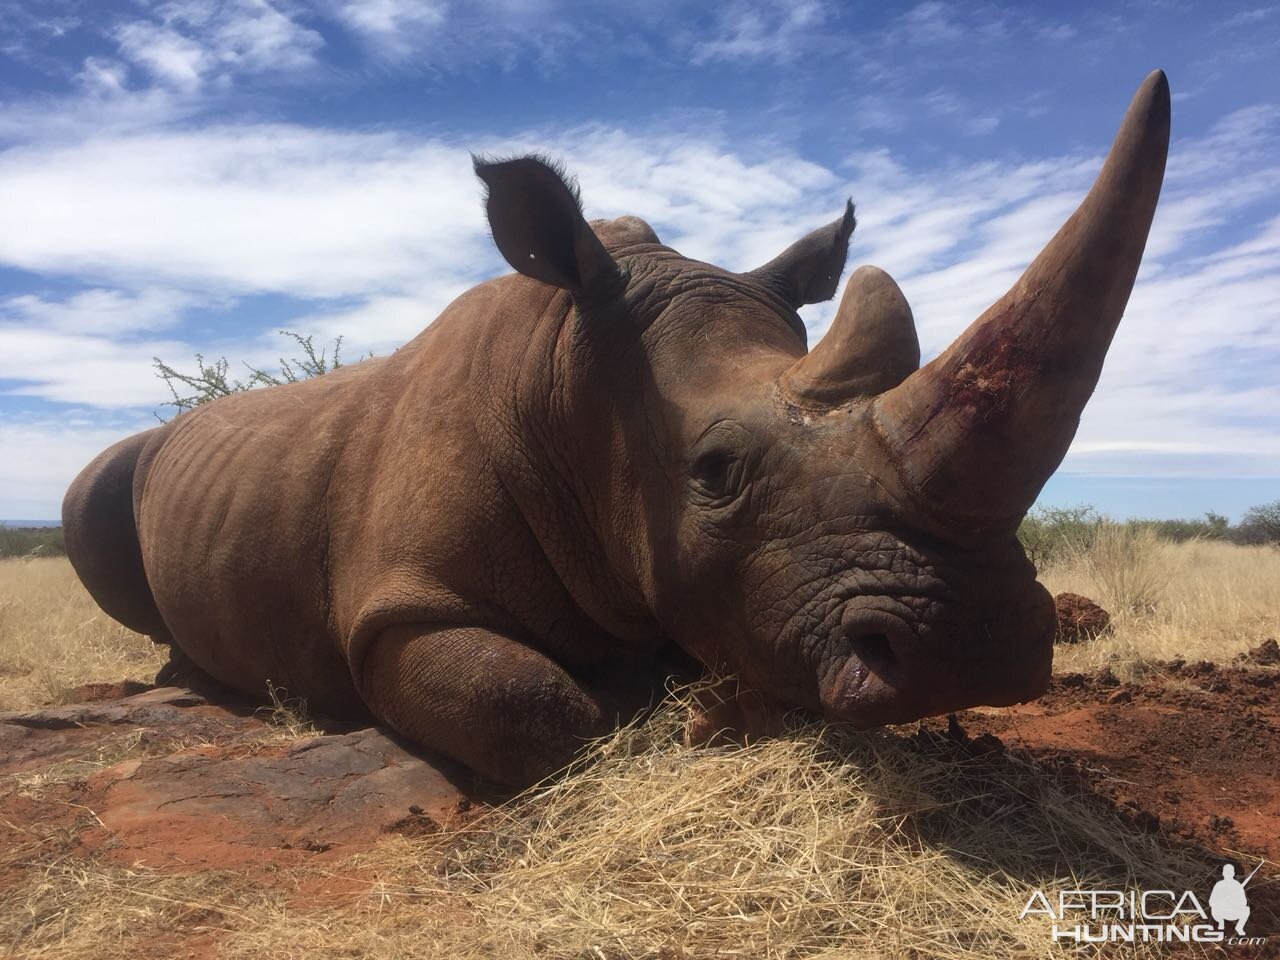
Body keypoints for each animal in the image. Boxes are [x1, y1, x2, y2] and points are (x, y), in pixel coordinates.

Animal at [62, 73, 1172, 783]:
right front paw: (671, 711)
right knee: (91, 503)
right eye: (714, 470)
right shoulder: (398, 606)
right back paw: (184, 677)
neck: (565, 385)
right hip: (123, 471)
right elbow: (538, 706)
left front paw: (712, 703)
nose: (973, 649)